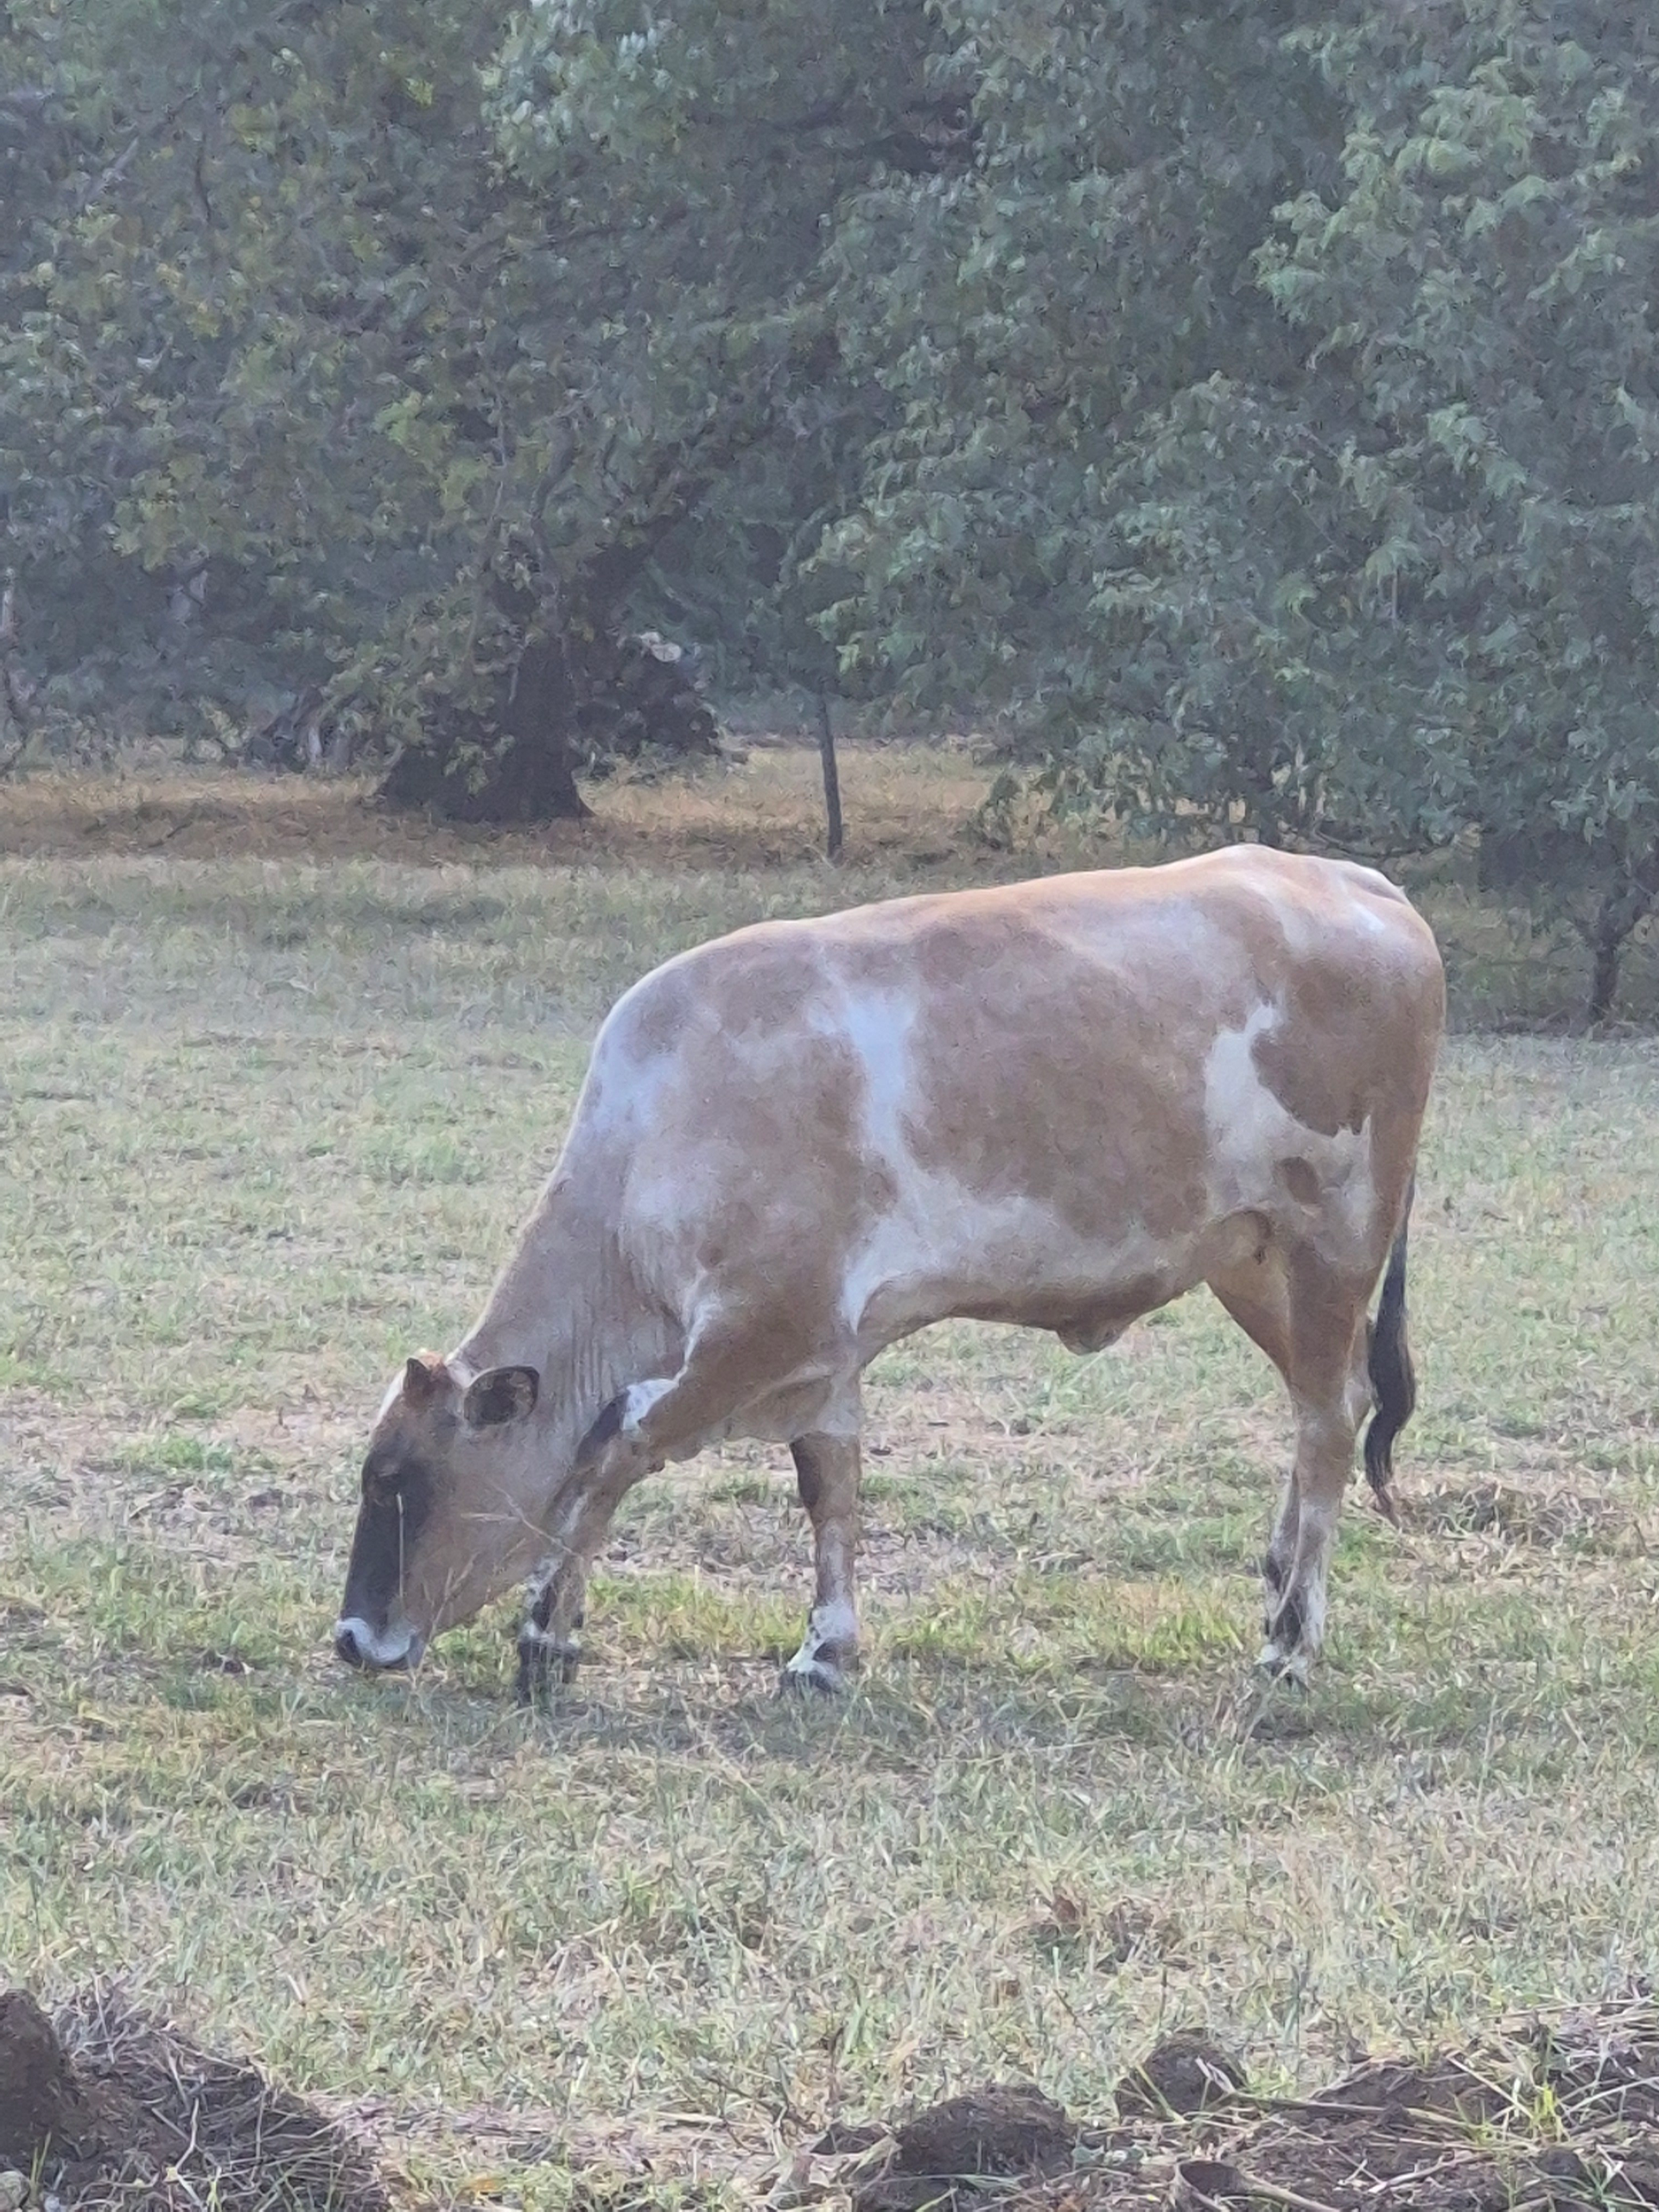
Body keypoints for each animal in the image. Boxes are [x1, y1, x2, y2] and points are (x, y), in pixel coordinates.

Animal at [333, 846, 1444, 1697]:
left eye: (400, 1482)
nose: (351, 1639)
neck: (658, 1126)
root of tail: (1357, 881)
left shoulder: (757, 1333)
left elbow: (612, 1452)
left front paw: (545, 1637)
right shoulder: (822, 1356)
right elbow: (830, 1489)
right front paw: (825, 1650)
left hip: (1335, 1238)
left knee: (1329, 1422)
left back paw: (1292, 1640)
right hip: (1254, 1261)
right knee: (1324, 1399)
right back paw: (1279, 1583)